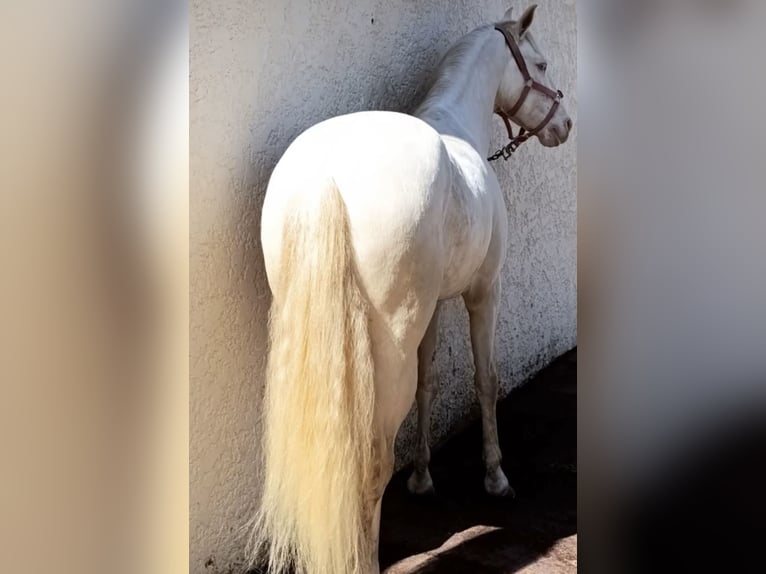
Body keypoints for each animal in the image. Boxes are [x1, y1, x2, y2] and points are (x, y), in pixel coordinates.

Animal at [250, 5, 568, 574]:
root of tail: (325, 176)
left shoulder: (433, 307)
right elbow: (486, 379)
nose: (565, 124)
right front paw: (496, 477)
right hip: (391, 343)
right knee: (373, 460)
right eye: (541, 64)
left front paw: (423, 477)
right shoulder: (484, 292)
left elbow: (429, 382)